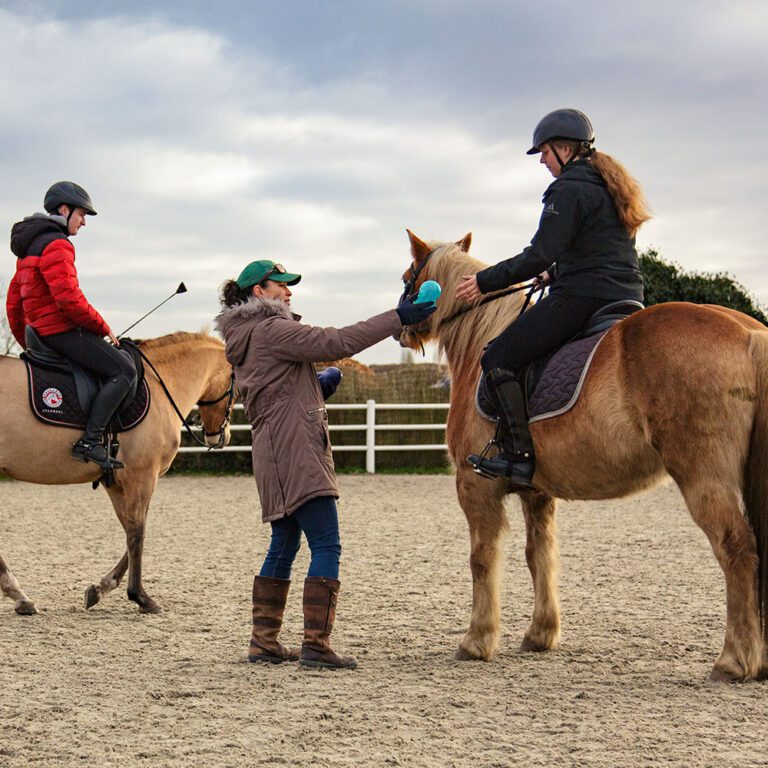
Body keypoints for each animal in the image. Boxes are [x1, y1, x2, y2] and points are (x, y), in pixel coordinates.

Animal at [0, 332, 234, 616]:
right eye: (235, 382)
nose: (222, 437)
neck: (160, 385)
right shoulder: (142, 478)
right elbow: (137, 533)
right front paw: (141, 597)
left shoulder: (117, 482)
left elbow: (131, 530)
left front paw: (101, 588)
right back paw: (17, 593)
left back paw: (20, 596)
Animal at [400, 231, 768, 680]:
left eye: (408, 277)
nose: (401, 331)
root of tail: (748, 334)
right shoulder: (536, 491)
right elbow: (539, 555)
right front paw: (540, 633)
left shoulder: (476, 488)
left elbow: (482, 558)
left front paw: (476, 640)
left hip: (703, 478)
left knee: (737, 549)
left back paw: (733, 660)